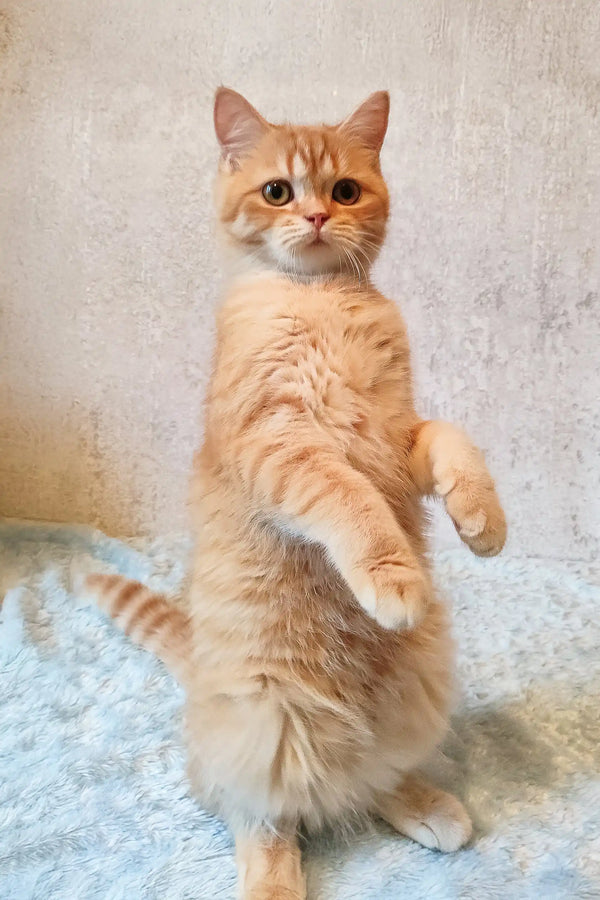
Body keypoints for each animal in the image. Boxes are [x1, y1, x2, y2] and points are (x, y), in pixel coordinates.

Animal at [83, 86, 506, 900]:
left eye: (344, 190)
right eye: (278, 191)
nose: (313, 217)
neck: (321, 301)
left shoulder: (400, 438)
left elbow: (454, 441)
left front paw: (483, 518)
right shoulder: (281, 449)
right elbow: (352, 502)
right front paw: (392, 575)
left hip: (417, 689)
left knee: (365, 776)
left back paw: (421, 803)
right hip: (262, 722)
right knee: (267, 806)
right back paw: (274, 878)